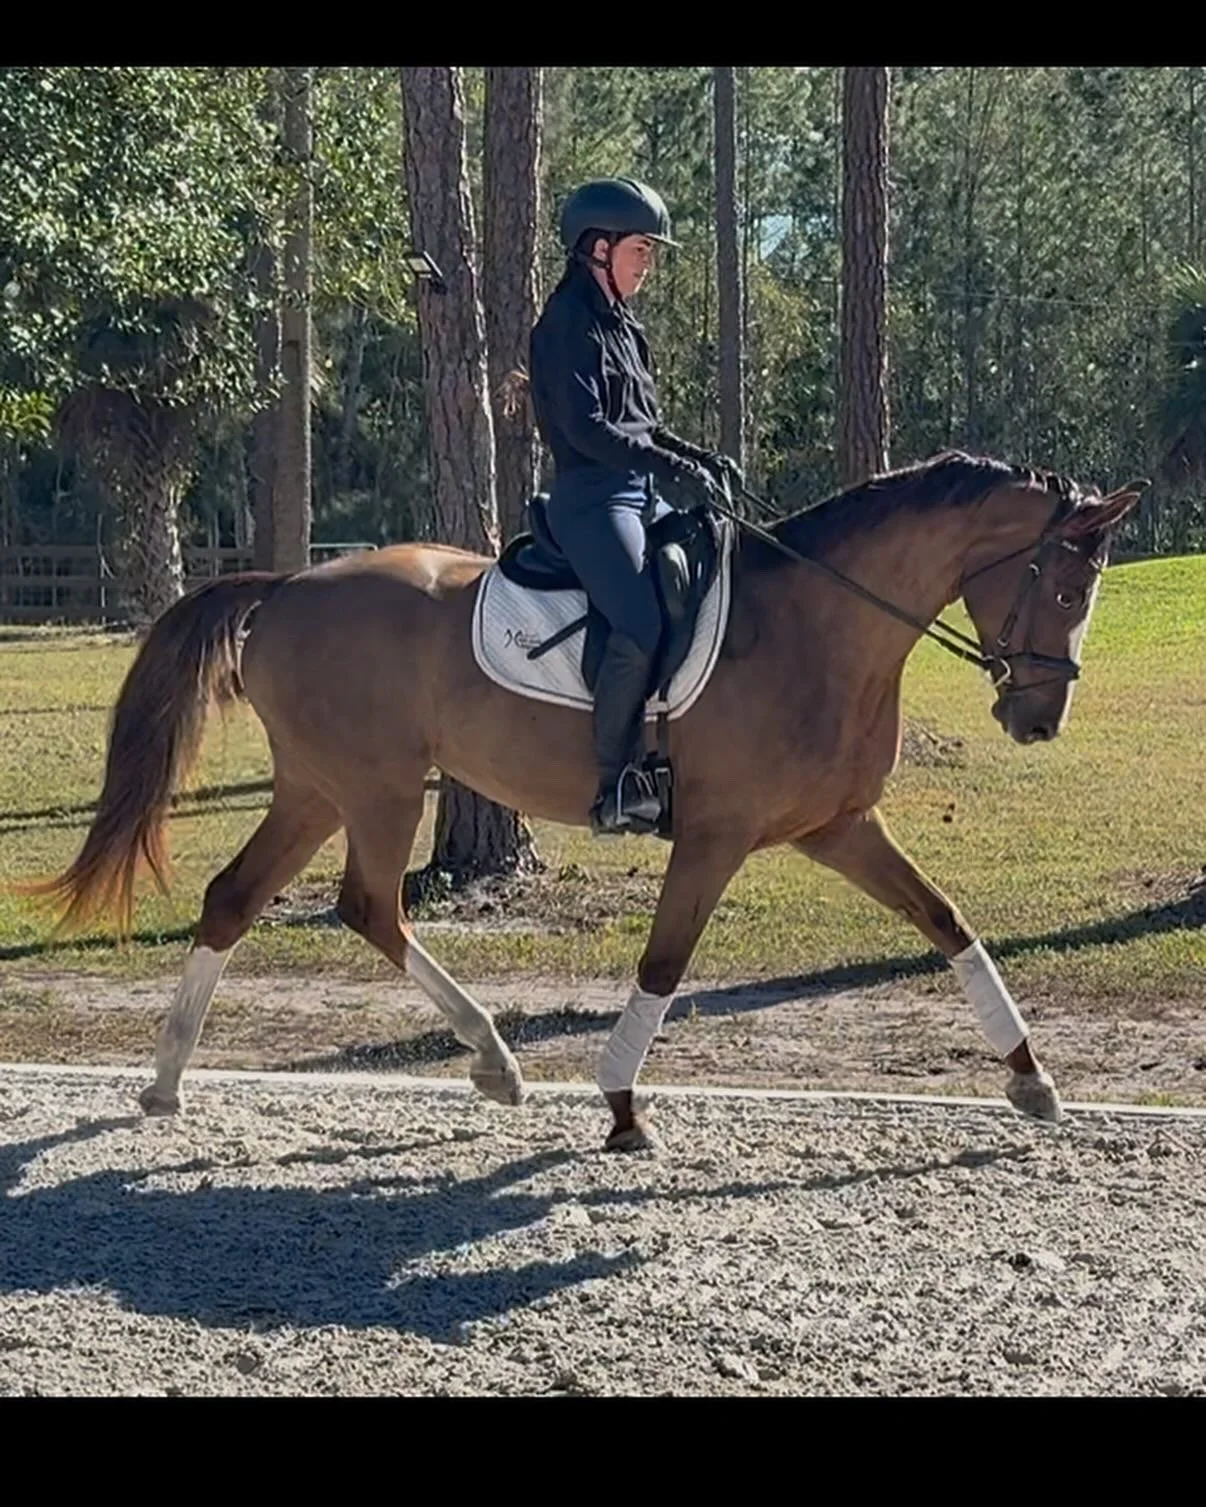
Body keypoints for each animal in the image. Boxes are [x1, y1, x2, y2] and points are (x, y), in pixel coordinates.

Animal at [26, 450, 1144, 1151]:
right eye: (1061, 585)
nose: (1039, 719)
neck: (820, 625)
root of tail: (288, 586)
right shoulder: (717, 836)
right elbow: (664, 962)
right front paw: (622, 1105)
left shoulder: (836, 827)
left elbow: (948, 922)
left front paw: (1032, 1077)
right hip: (373, 788)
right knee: (369, 905)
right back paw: (490, 1058)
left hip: (316, 788)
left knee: (238, 897)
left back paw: (169, 1083)